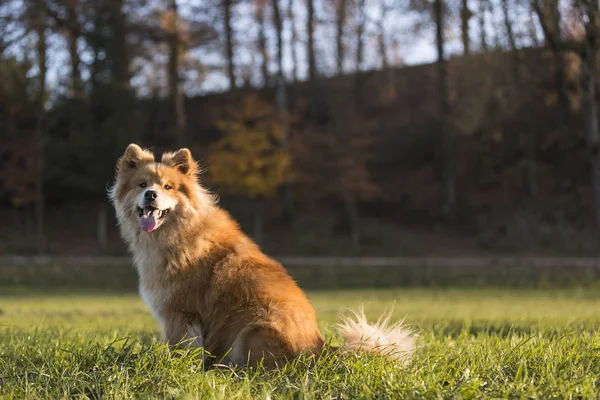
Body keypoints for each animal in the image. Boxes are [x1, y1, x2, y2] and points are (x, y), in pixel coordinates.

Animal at [109, 144, 418, 368]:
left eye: (168, 187)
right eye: (142, 184)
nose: (151, 195)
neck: (179, 233)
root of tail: (322, 351)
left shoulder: (180, 314)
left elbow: (179, 350)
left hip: (253, 328)